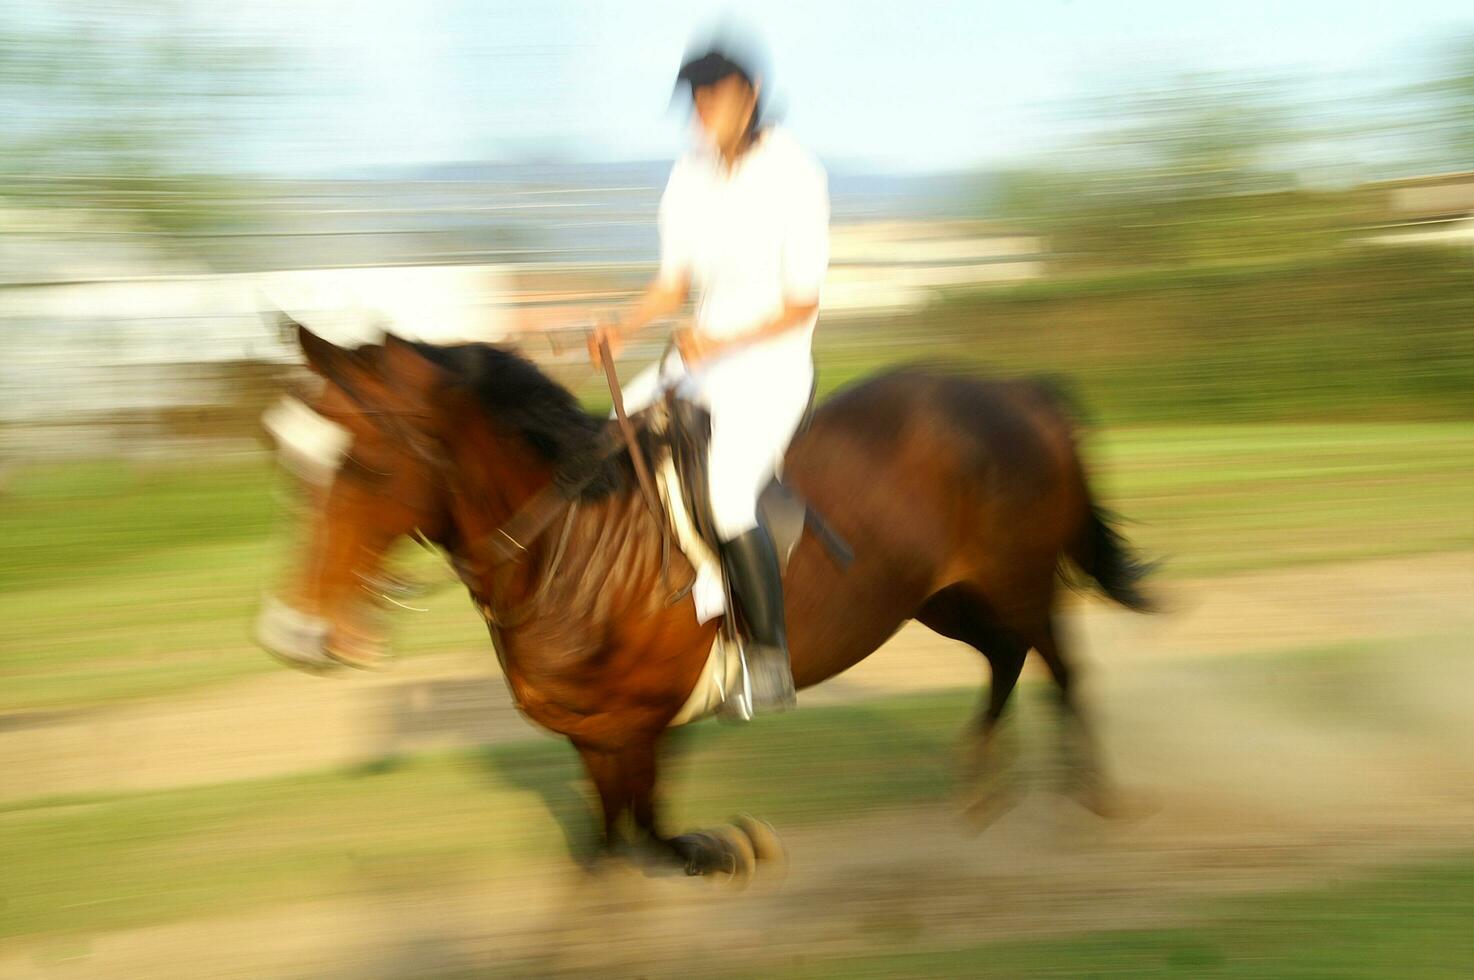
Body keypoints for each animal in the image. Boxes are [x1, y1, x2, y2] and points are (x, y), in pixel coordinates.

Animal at [256, 322, 1149, 878]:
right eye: (290, 463)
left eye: (364, 465)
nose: (294, 636)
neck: (569, 544)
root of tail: (1019, 391)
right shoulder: (595, 736)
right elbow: (610, 845)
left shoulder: (648, 719)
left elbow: (652, 833)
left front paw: (729, 848)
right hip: (943, 596)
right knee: (1007, 657)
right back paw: (984, 783)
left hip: (1016, 581)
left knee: (1059, 664)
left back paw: (1091, 794)